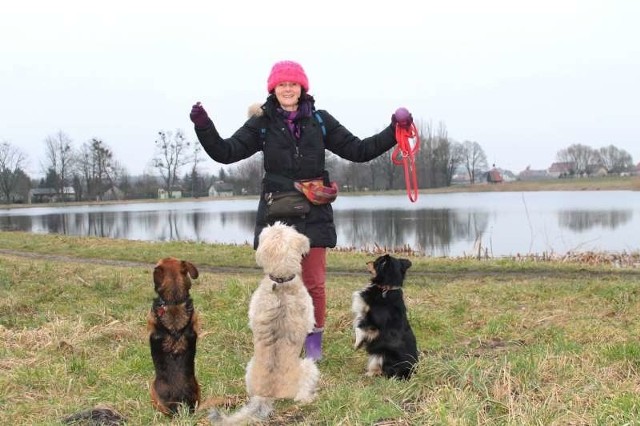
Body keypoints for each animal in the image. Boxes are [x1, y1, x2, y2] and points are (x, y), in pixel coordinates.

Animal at [210, 221, 320, 424]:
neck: (281, 281)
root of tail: (266, 395)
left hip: (249, 368)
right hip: (309, 367)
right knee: (302, 396)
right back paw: (311, 397)